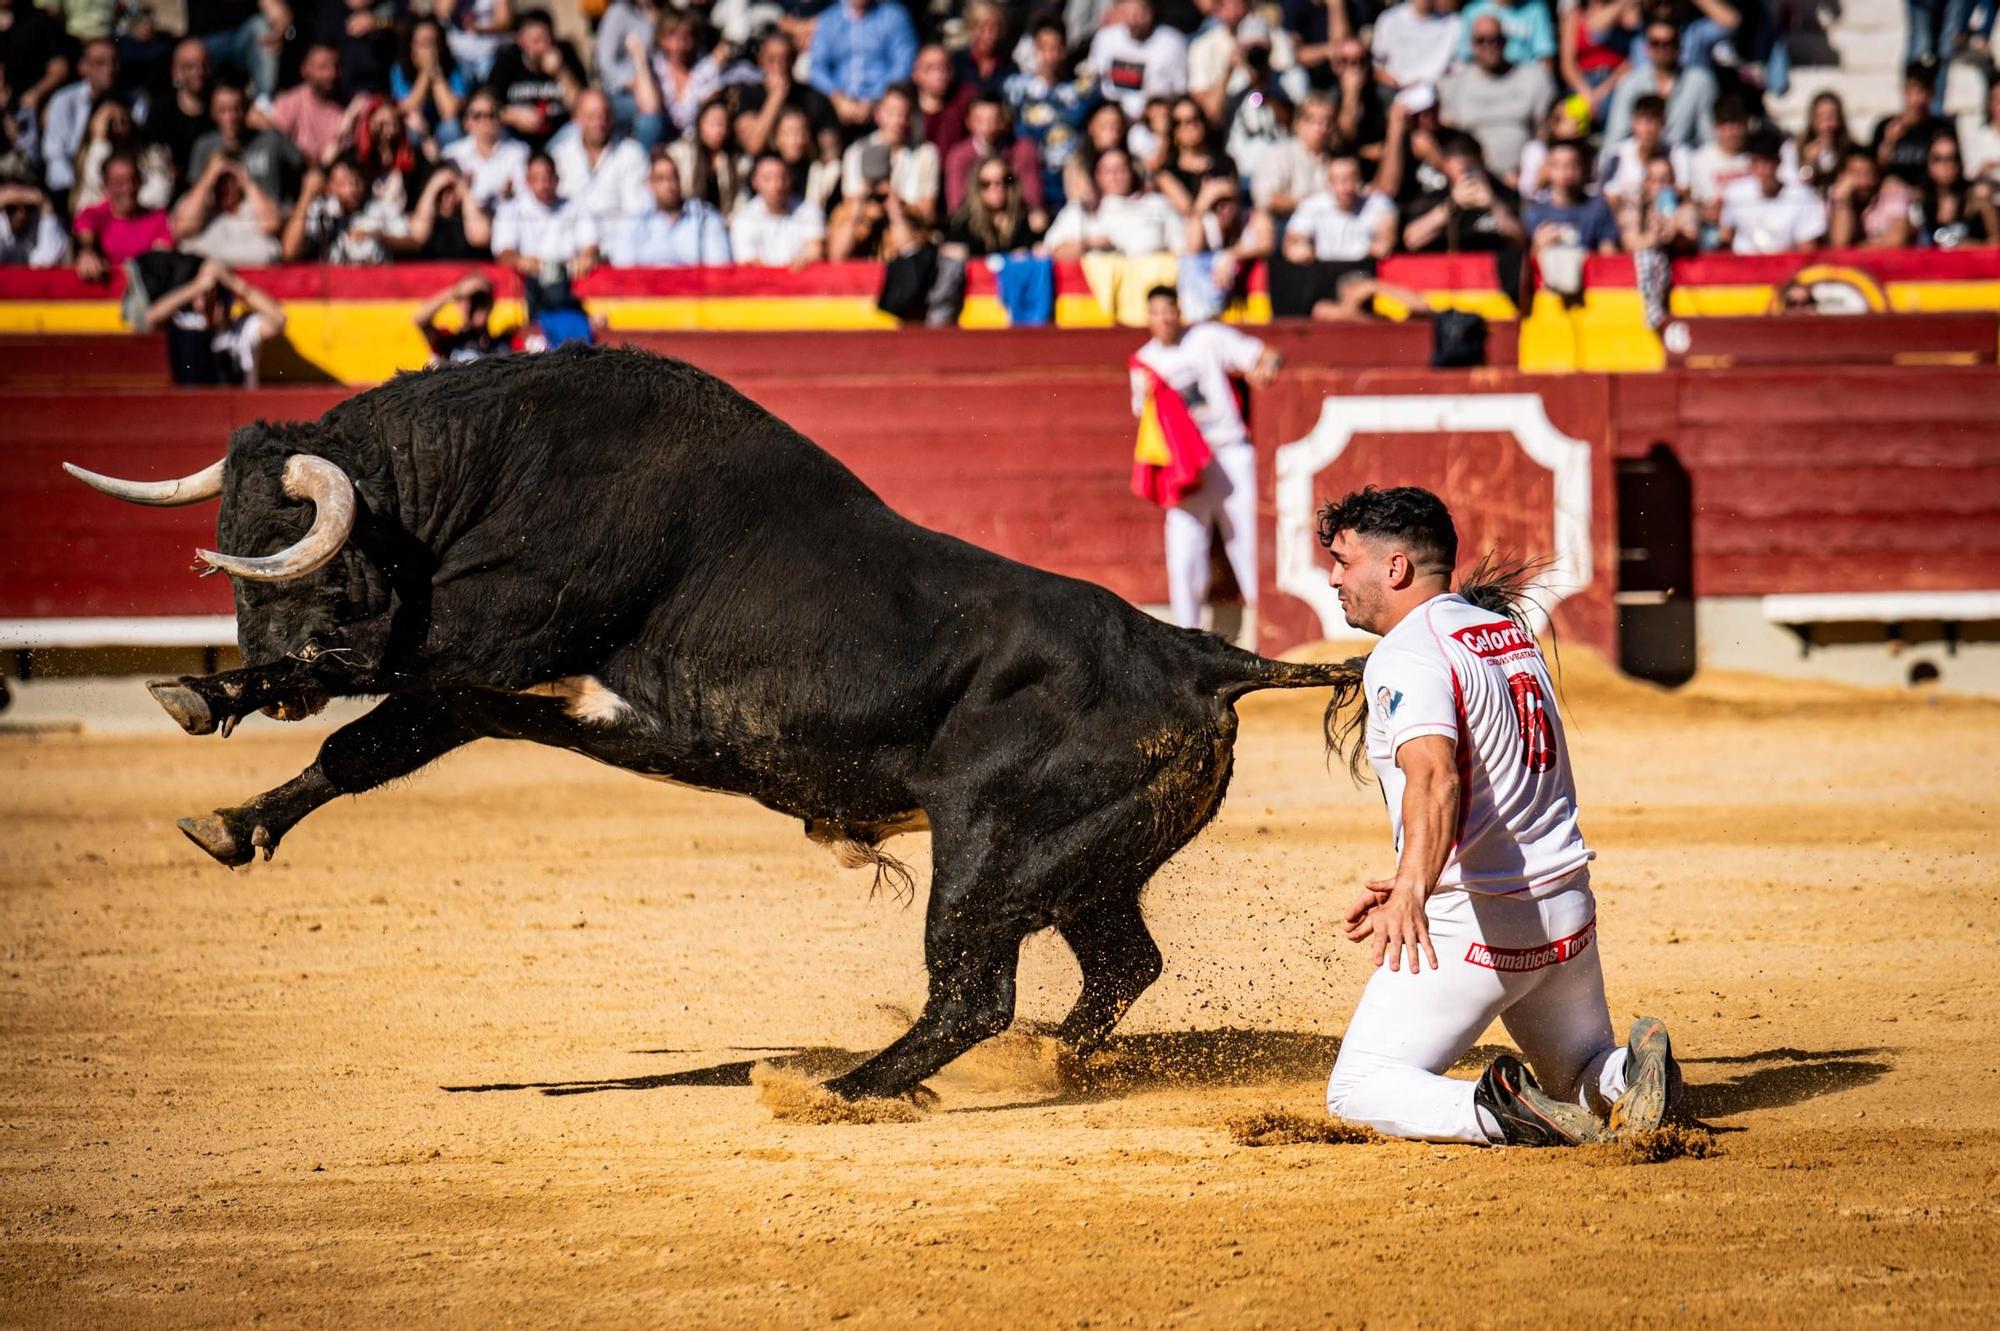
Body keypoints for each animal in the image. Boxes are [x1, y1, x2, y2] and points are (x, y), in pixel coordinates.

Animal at [70, 343, 1368, 1095]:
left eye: (300, 559)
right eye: (229, 556)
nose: (267, 665)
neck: (487, 476)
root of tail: (1192, 649)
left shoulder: (486, 649)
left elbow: (369, 693)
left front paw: (206, 696)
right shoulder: (486, 693)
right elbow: (362, 746)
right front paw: (229, 812)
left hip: (990, 852)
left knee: (970, 988)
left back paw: (840, 1089)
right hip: (1083, 864)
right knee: (1118, 964)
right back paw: (1038, 1063)